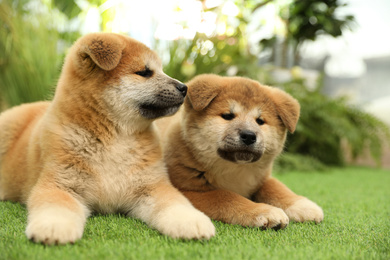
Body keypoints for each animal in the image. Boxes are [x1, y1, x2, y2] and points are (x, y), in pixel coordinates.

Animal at [0, 32, 216, 244]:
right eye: (144, 72)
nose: (184, 87)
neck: (116, 138)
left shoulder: (153, 187)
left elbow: (176, 204)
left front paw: (191, 222)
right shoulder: (59, 184)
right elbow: (57, 207)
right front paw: (54, 227)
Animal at [157, 74, 324, 229]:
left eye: (260, 121)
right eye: (228, 116)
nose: (249, 135)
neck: (235, 170)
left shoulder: (262, 178)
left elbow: (277, 188)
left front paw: (301, 205)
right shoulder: (188, 191)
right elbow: (226, 196)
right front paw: (264, 211)